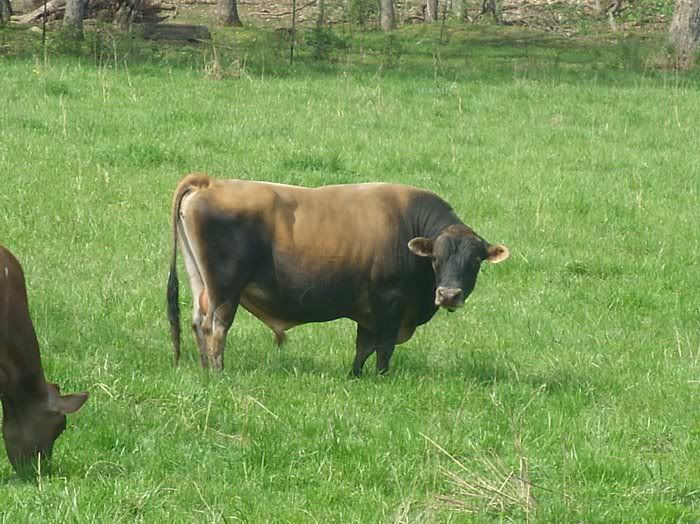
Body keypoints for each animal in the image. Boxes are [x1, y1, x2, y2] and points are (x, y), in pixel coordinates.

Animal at [167, 174, 510, 376]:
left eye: (475, 261)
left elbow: (363, 347)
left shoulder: (369, 312)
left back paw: (204, 369)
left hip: (201, 281)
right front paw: (381, 378)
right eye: (436, 258)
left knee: (198, 321)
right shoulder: (389, 304)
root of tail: (209, 182)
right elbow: (383, 348)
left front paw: (355, 375)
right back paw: (218, 371)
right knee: (216, 326)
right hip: (225, 289)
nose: (449, 294)